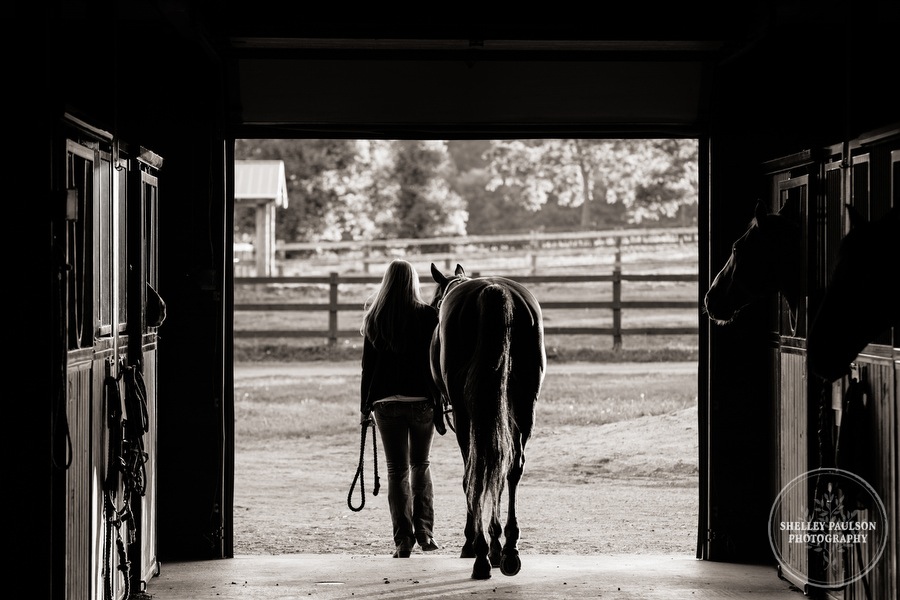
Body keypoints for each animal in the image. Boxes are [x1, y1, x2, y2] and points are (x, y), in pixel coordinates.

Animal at [428, 264, 544, 580]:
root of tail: (493, 290)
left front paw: (477, 543)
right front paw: (497, 546)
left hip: (467, 415)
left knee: (476, 471)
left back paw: (479, 553)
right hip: (524, 405)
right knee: (511, 468)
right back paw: (509, 550)